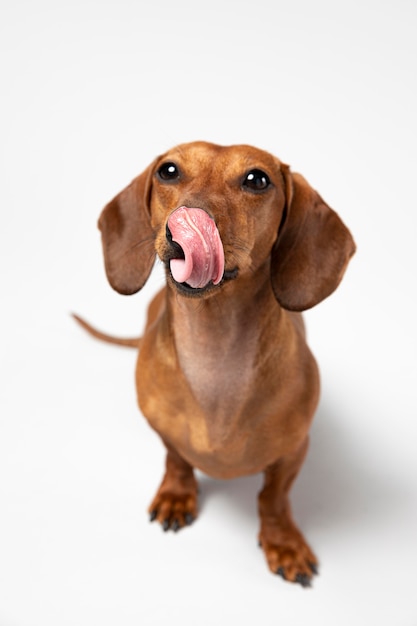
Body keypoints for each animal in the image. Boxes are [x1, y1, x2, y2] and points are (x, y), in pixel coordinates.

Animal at [75, 140, 354, 584]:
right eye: (168, 171)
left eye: (257, 179)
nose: (182, 228)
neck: (215, 355)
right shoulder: (163, 429)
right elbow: (176, 459)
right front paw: (176, 494)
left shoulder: (294, 451)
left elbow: (273, 497)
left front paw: (283, 542)